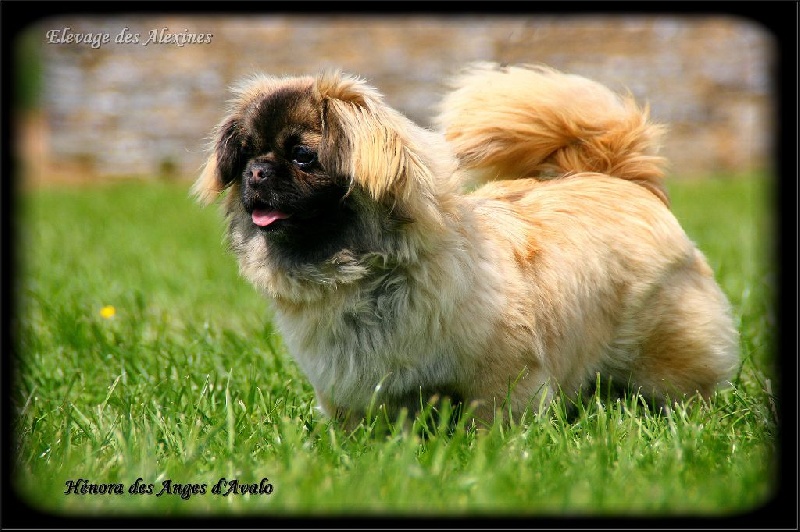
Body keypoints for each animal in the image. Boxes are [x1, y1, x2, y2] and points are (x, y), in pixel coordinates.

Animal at [193, 63, 739, 426]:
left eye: (303, 156)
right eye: (245, 156)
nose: (257, 172)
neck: (361, 279)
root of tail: (619, 178)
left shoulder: (503, 376)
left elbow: (493, 422)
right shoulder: (349, 388)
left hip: (665, 350)